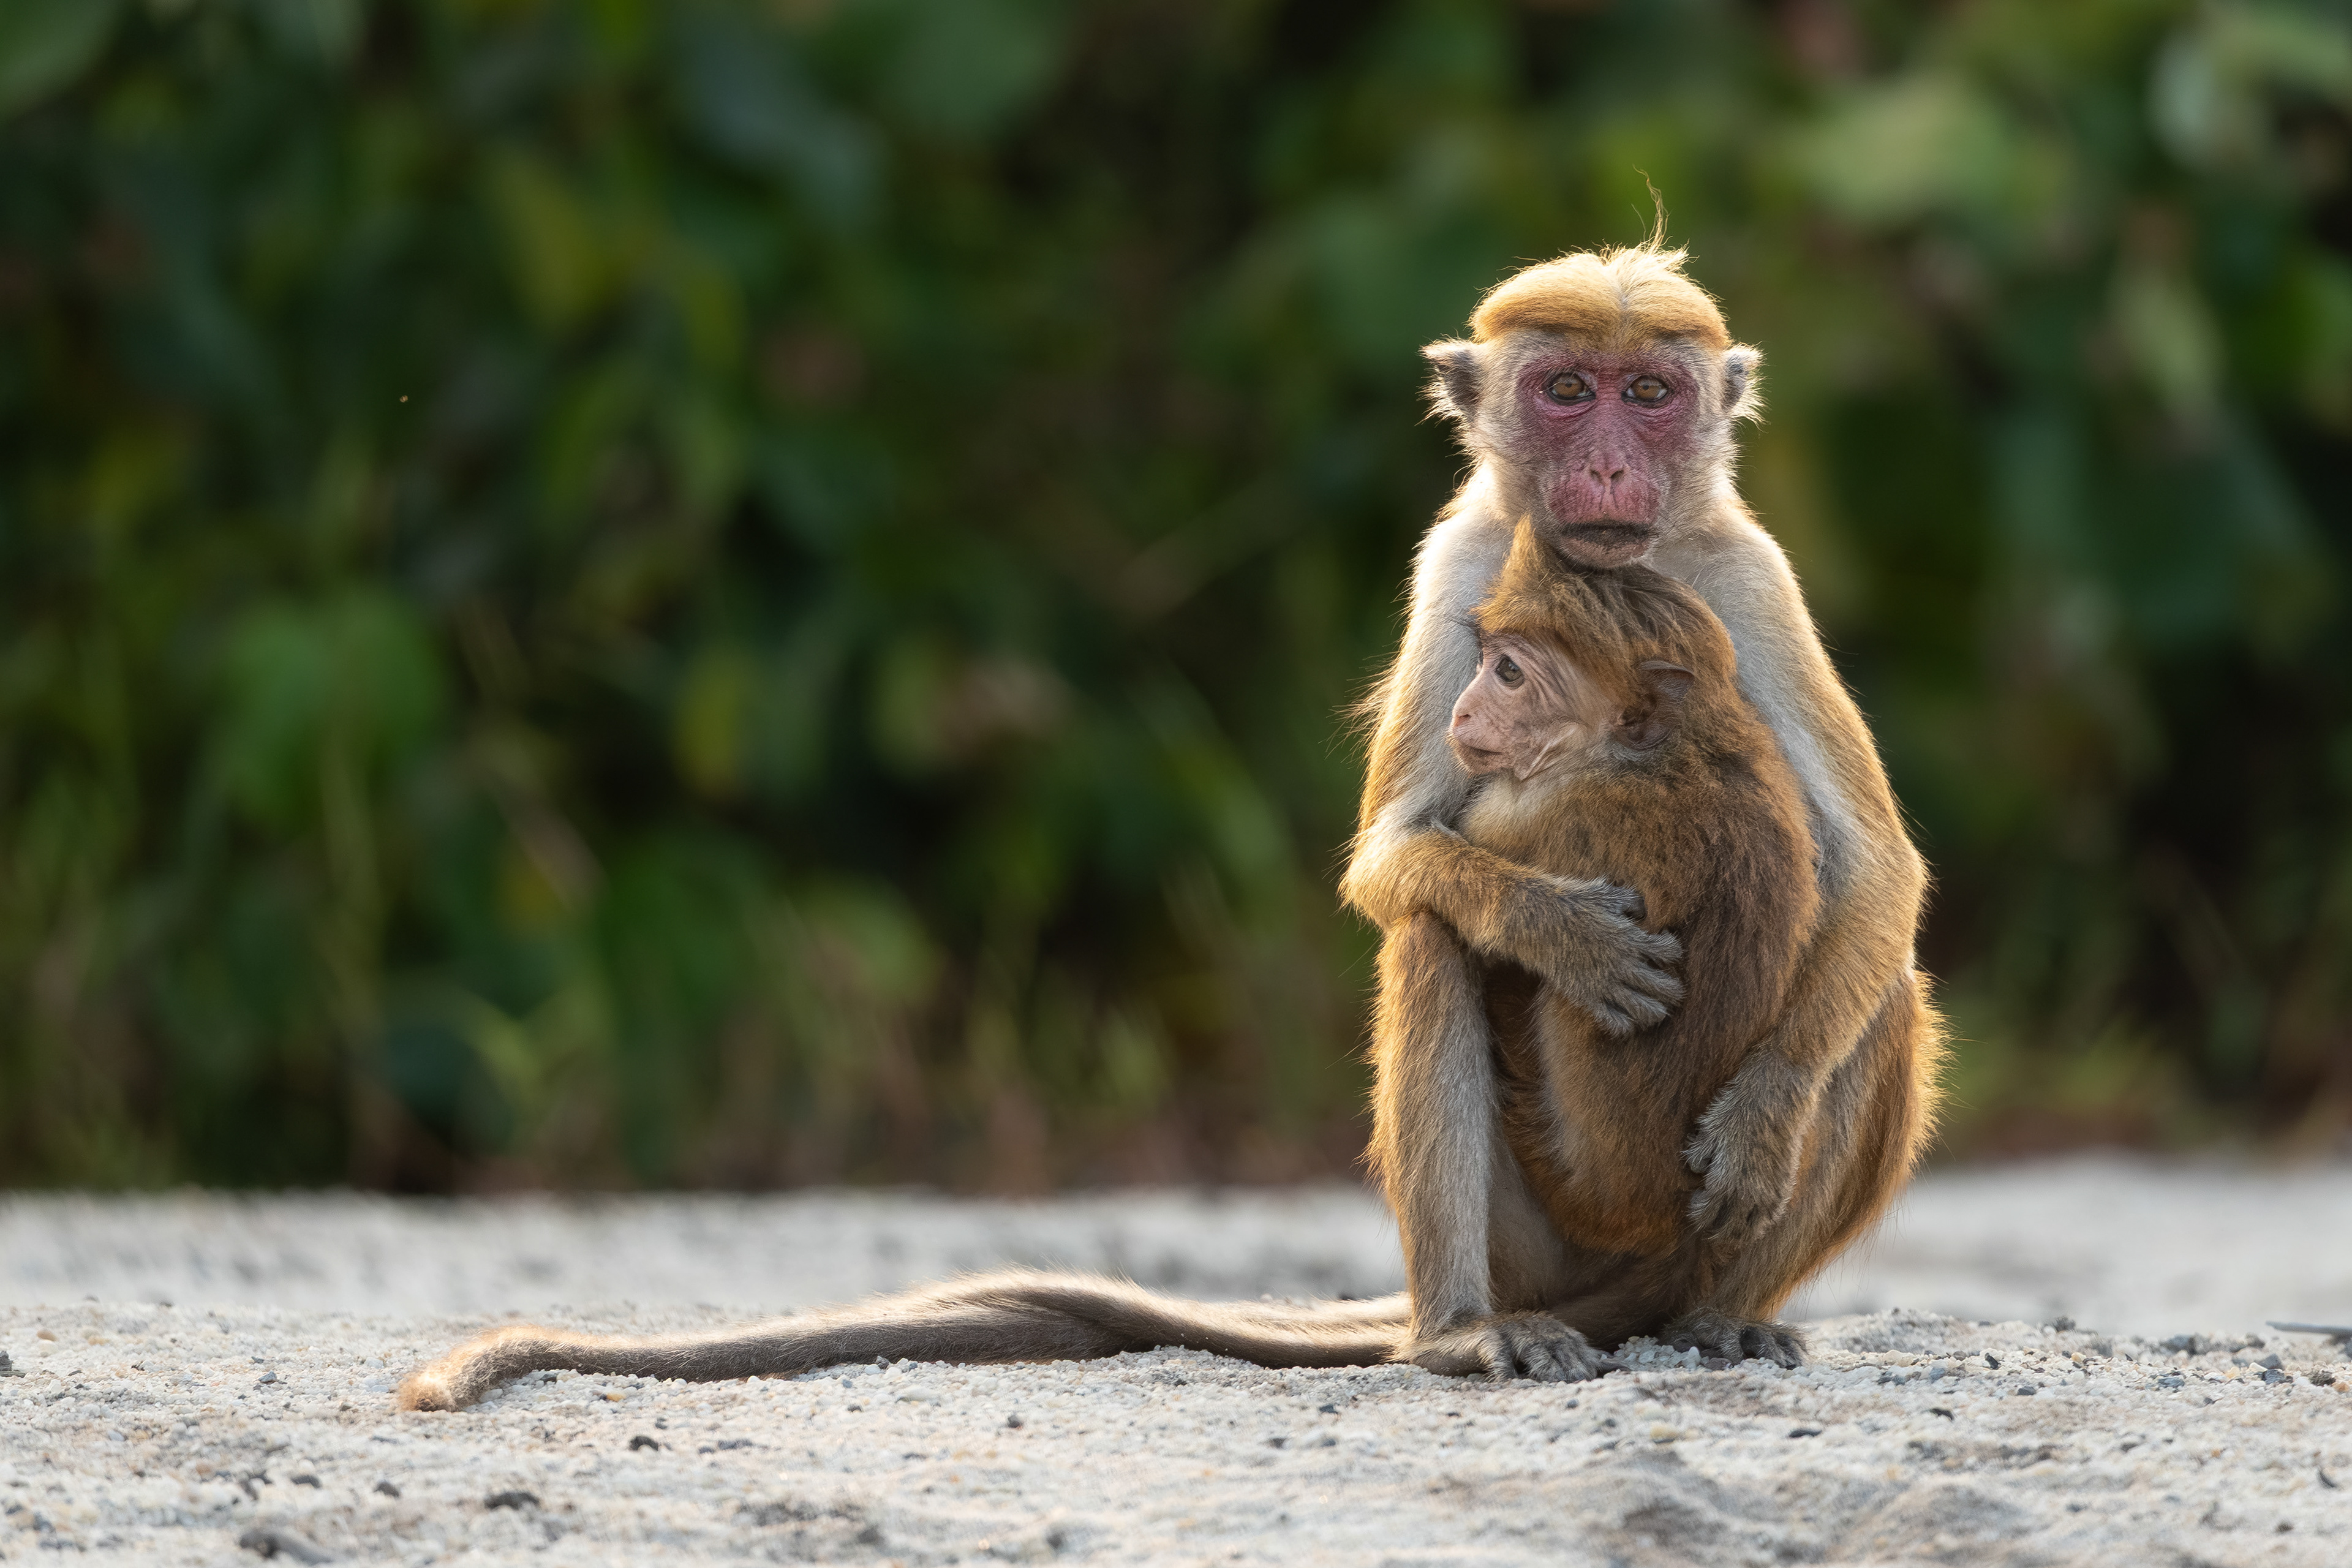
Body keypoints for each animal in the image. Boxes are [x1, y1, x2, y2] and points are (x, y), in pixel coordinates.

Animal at [1344, 241, 1945, 1378]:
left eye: (1652, 395)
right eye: (1570, 391)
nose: (1614, 468)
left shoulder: (1754, 575)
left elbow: (1878, 867)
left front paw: (1767, 1113)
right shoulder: (1456, 560)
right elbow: (1392, 852)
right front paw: (1564, 934)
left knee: (1881, 993)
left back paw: (1716, 1317)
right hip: (1537, 1241)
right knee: (1432, 932)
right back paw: (1460, 1329)